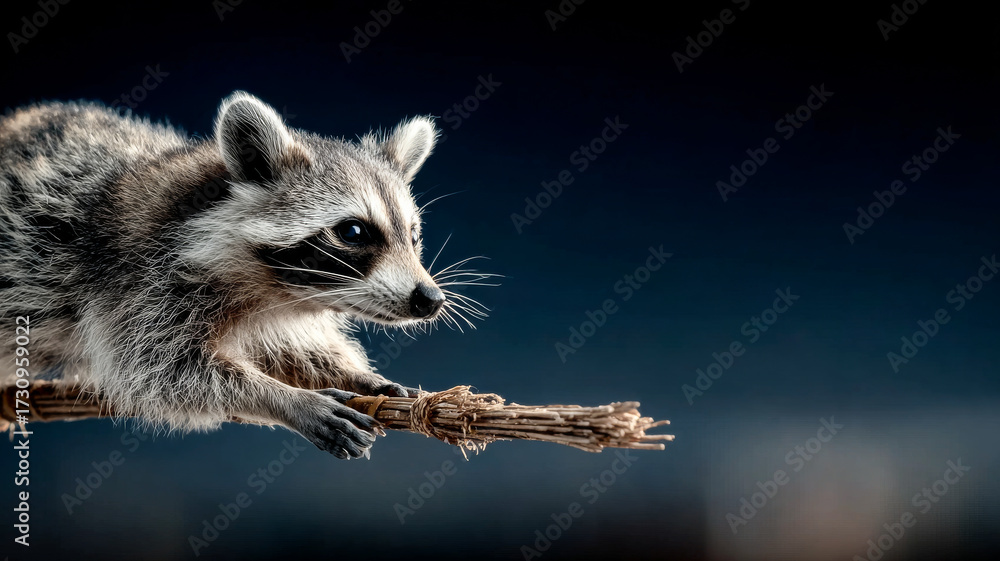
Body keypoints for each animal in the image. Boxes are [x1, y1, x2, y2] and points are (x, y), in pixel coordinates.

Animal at [0, 91, 478, 459]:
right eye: (354, 232)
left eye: (413, 235)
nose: (430, 299)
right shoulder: (134, 282)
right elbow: (163, 373)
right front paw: (283, 398)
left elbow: (290, 349)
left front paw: (349, 372)